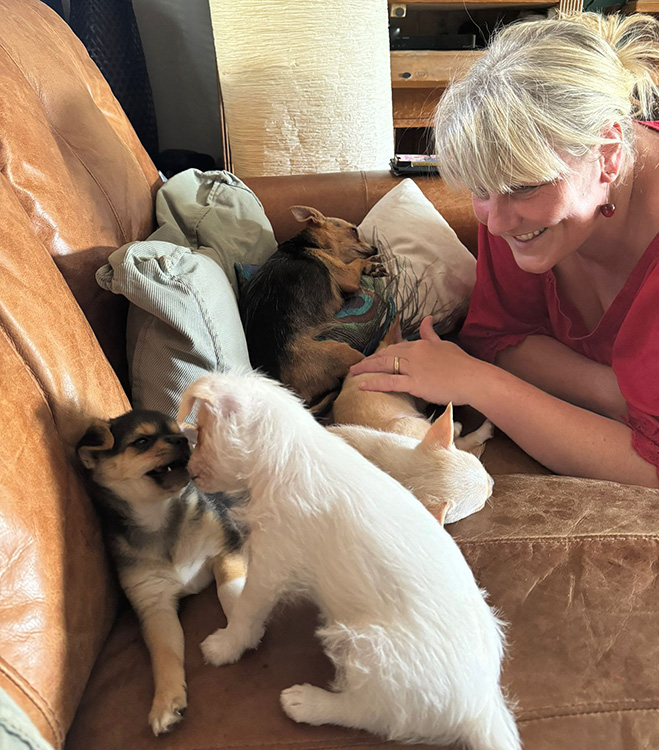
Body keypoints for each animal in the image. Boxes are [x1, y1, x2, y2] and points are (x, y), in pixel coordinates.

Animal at [75, 412, 245, 736]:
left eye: (179, 433)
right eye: (141, 442)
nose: (183, 440)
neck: (160, 518)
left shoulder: (227, 545)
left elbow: (230, 591)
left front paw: (238, 635)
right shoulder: (154, 604)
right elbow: (165, 655)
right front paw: (166, 702)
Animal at [180, 374, 520, 748]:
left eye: (200, 432)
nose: (189, 473)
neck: (290, 453)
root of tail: (480, 710)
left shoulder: (272, 562)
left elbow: (246, 611)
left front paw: (224, 646)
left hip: (369, 652)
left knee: (369, 713)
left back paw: (307, 703)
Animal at [238, 207, 386, 412]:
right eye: (354, 231)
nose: (375, 248)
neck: (310, 243)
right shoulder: (347, 276)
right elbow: (356, 263)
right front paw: (371, 263)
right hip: (342, 351)